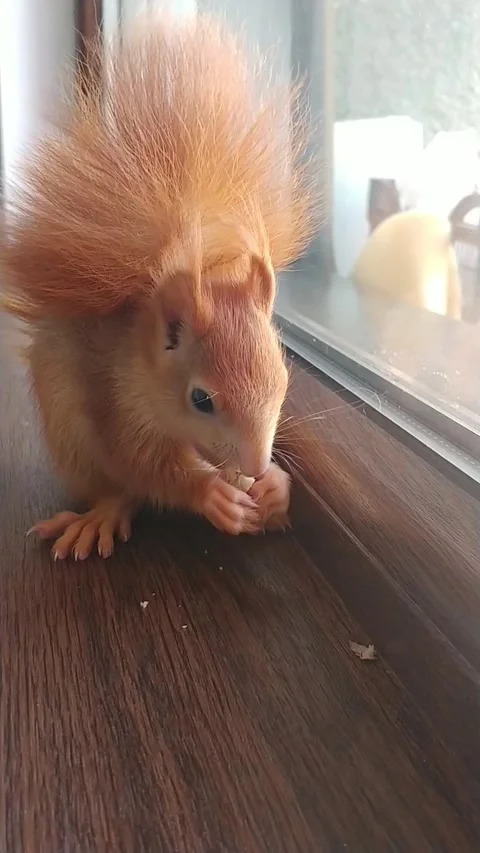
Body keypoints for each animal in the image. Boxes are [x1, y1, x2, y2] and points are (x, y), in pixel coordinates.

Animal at [1, 13, 316, 560]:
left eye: (282, 380)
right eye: (201, 400)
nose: (255, 466)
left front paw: (274, 487)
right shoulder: (114, 401)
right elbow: (143, 465)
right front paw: (210, 493)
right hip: (70, 440)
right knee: (119, 489)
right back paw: (101, 516)